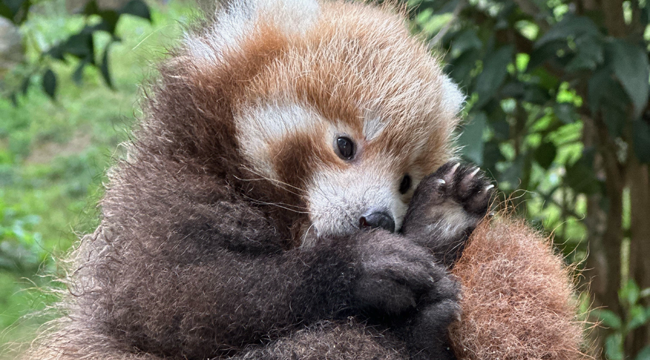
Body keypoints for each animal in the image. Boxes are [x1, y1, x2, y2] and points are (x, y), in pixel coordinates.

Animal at [24, 0, 584, 360]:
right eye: (345, 145)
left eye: (405, 180)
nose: (379, 218)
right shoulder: (154, 203)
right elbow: (176, 300)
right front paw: (358, 266)